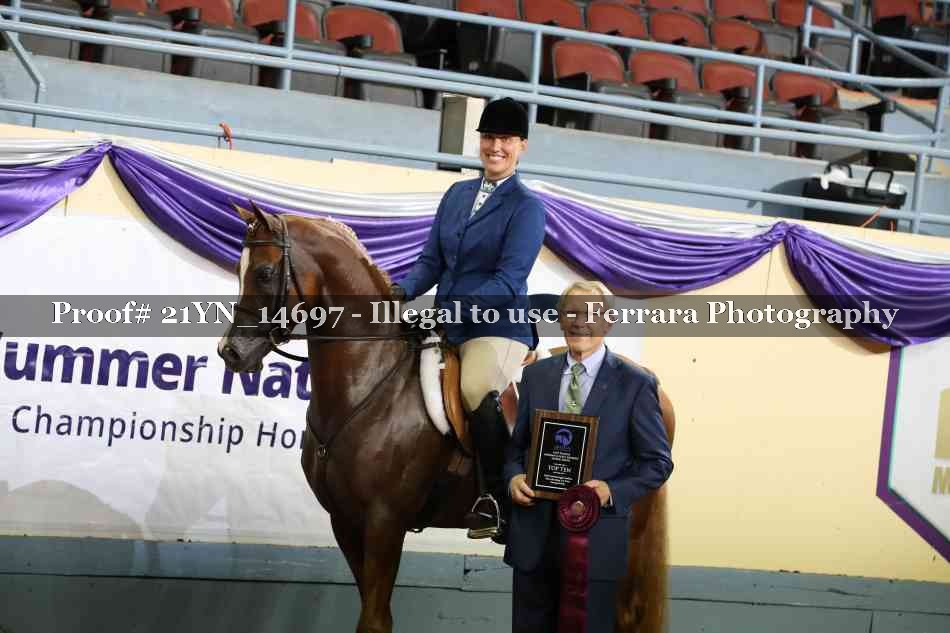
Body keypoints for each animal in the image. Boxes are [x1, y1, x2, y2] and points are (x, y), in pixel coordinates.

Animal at [218, 203, 676, 633]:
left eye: (263, 273)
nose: (231, 353)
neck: (368, 384)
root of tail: (656, 387)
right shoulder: (344, 521)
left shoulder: (385, 522)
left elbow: (374, 620)